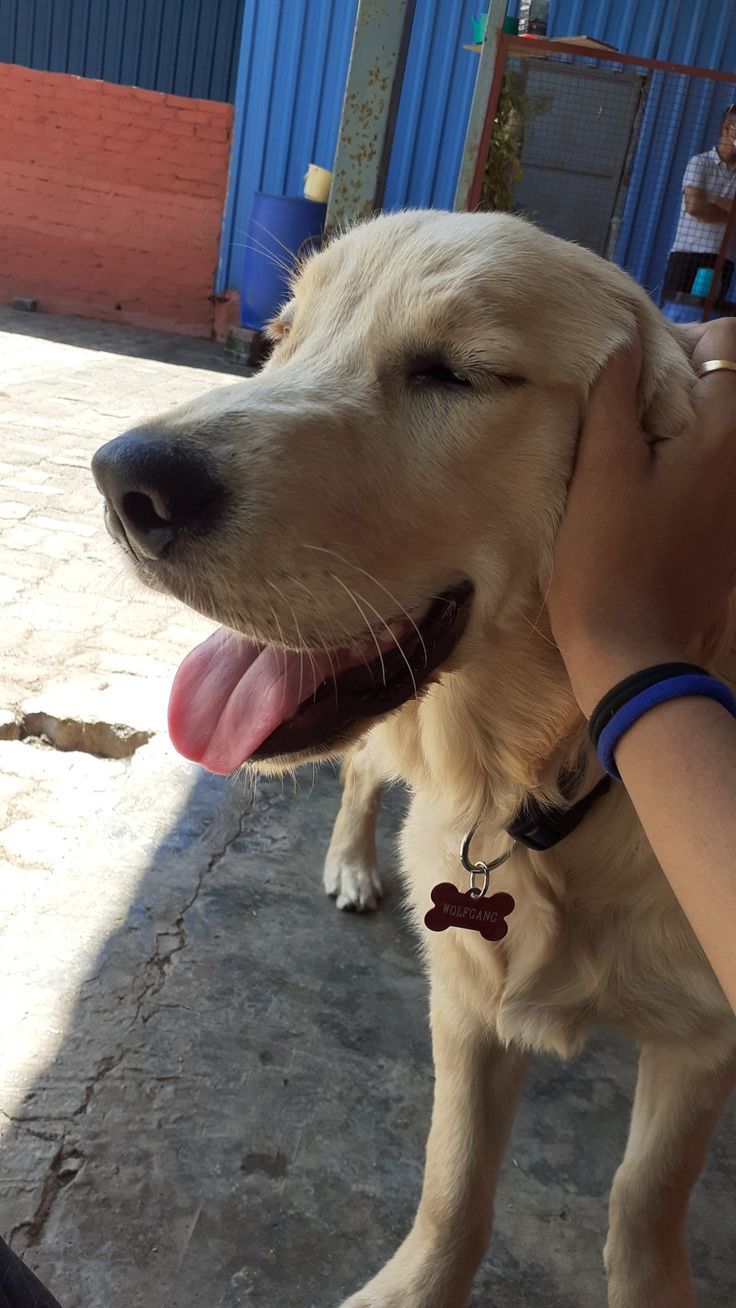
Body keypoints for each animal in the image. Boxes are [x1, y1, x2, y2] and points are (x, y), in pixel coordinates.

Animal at [93, 209, 736, 1302]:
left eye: (454, 374)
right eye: (280, 339)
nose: (127, 479)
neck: (555, 778)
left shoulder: (702, 1044)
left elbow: (644, 1201)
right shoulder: (468, 998)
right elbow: (452, 1186)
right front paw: (411, 1285)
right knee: (360, 774)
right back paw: (352, 862)